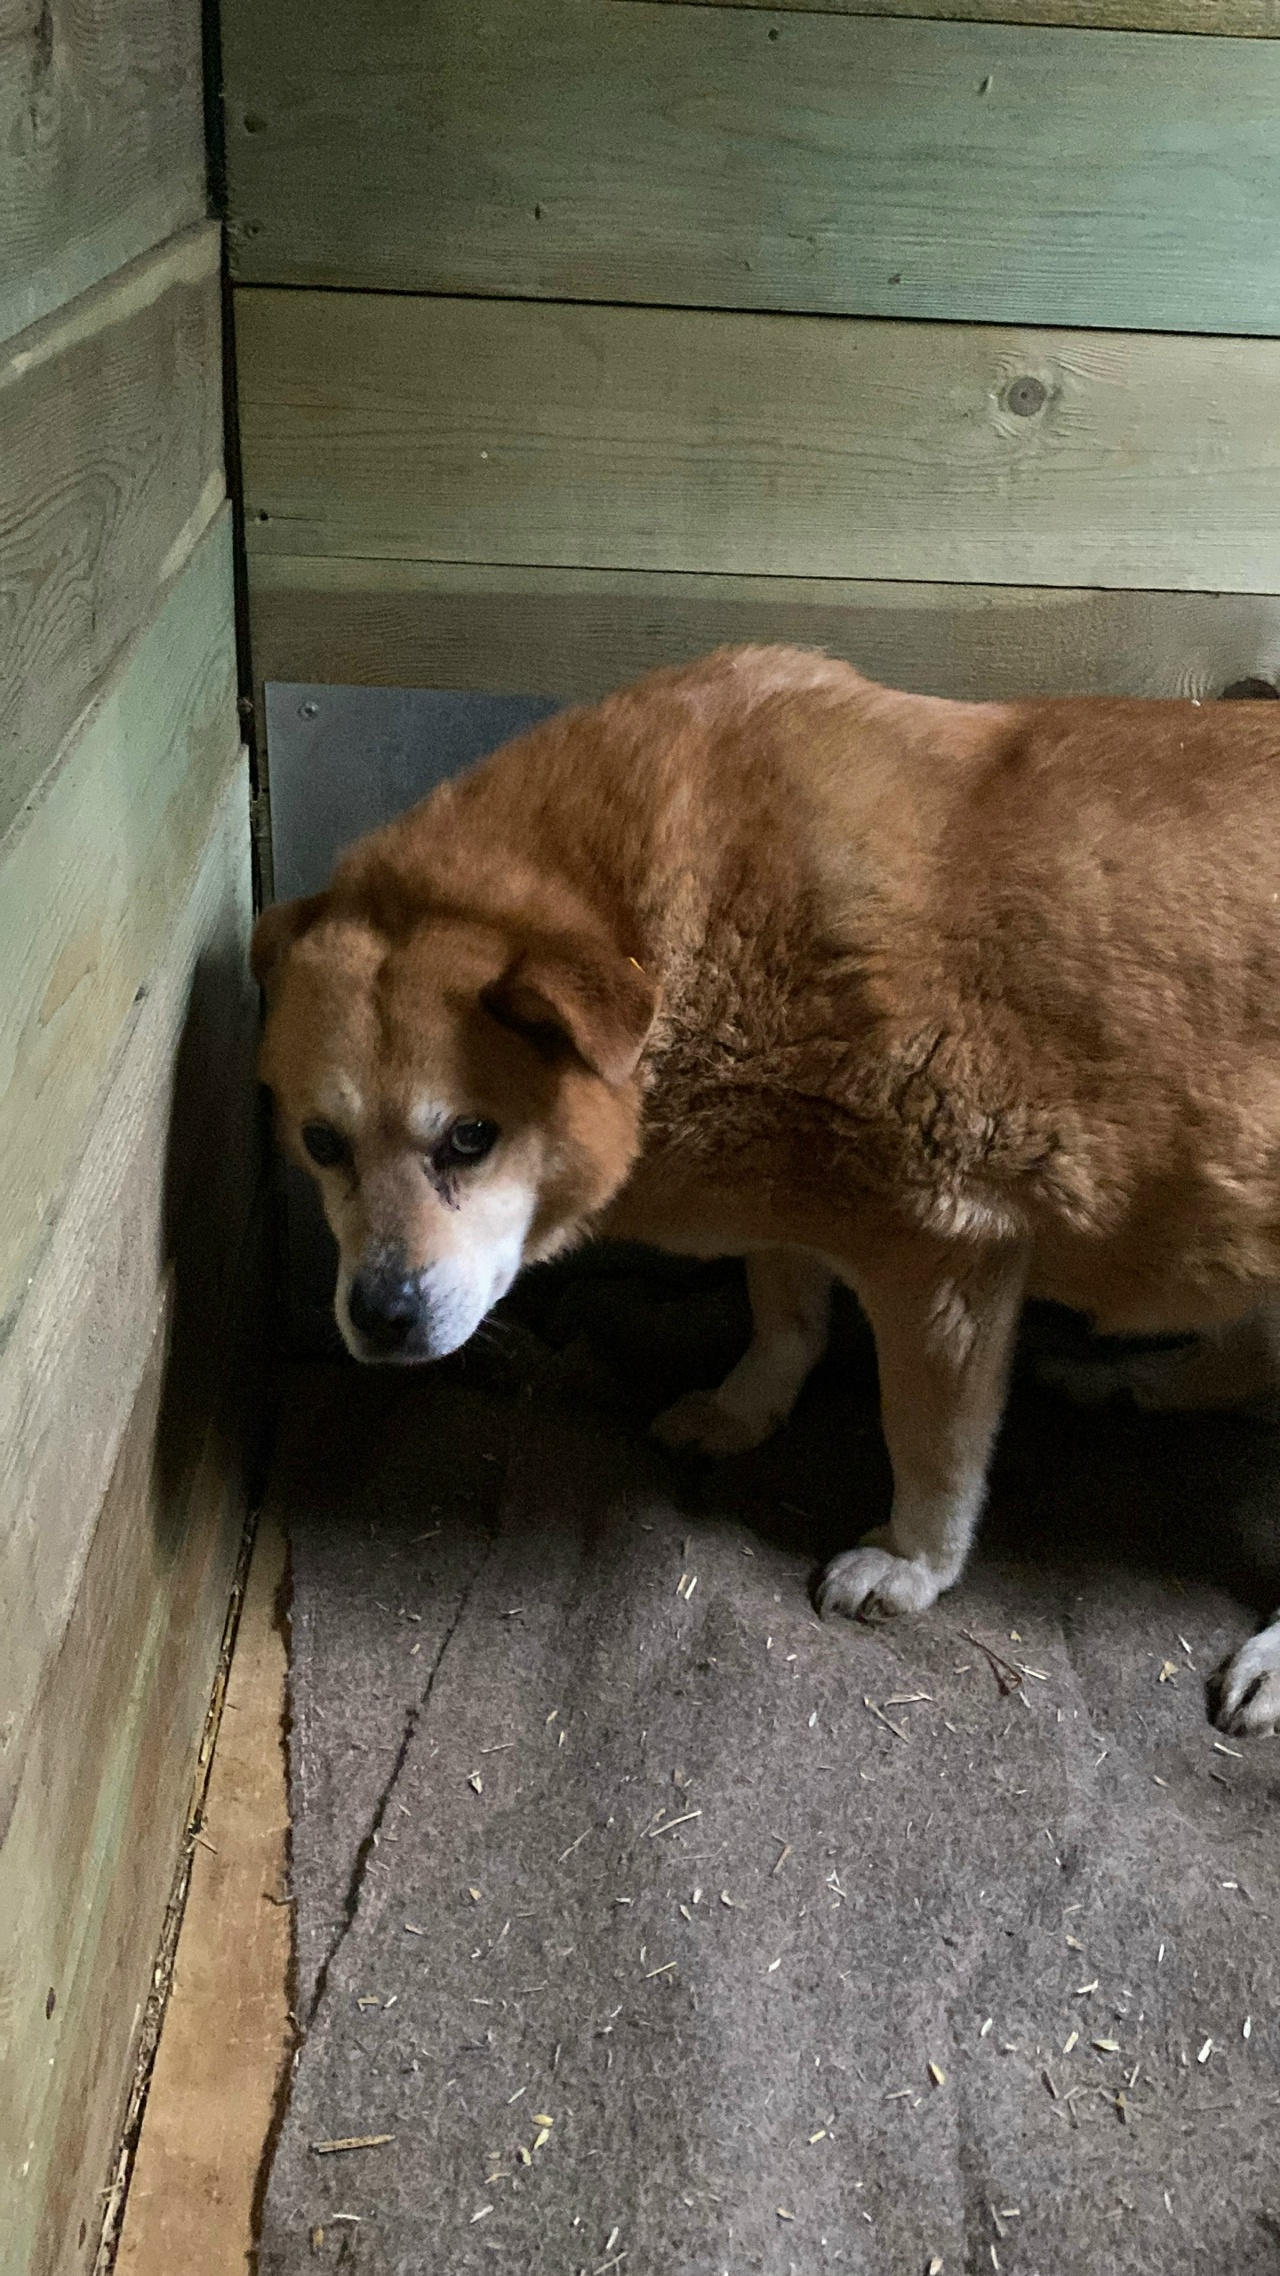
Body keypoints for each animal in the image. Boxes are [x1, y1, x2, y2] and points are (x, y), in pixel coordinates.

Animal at [252, 645, 1280, 1739]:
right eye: (321, 1143)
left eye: (469, 1138)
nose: (380, 1318)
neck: (666, 939)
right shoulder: (789, 1199)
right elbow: (784, 1317)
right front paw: (746, 1406)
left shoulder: (942, 1253)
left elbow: (928, 1445)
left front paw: (912, 1563)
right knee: (1248, 1362)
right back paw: (1126, 1379)